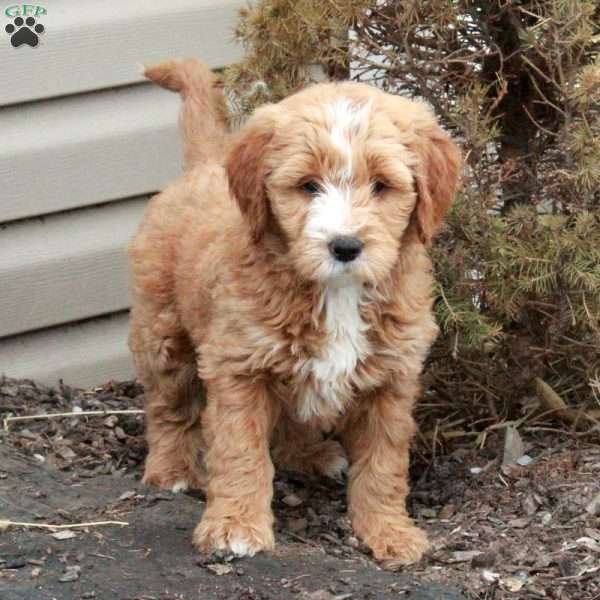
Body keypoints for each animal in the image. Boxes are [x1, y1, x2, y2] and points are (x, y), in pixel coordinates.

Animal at [129, 59, 462, 568]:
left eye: (381, 186)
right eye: (308, 185)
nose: (345, 246)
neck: (334, 293)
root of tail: (207, 163)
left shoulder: (392, 379)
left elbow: (384, 461)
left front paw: (389, 531)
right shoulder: (238, 366)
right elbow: (241, 450)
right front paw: (235, 526)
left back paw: (312, 455)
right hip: (163, 331)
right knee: (170, 407)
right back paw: (172, 469)